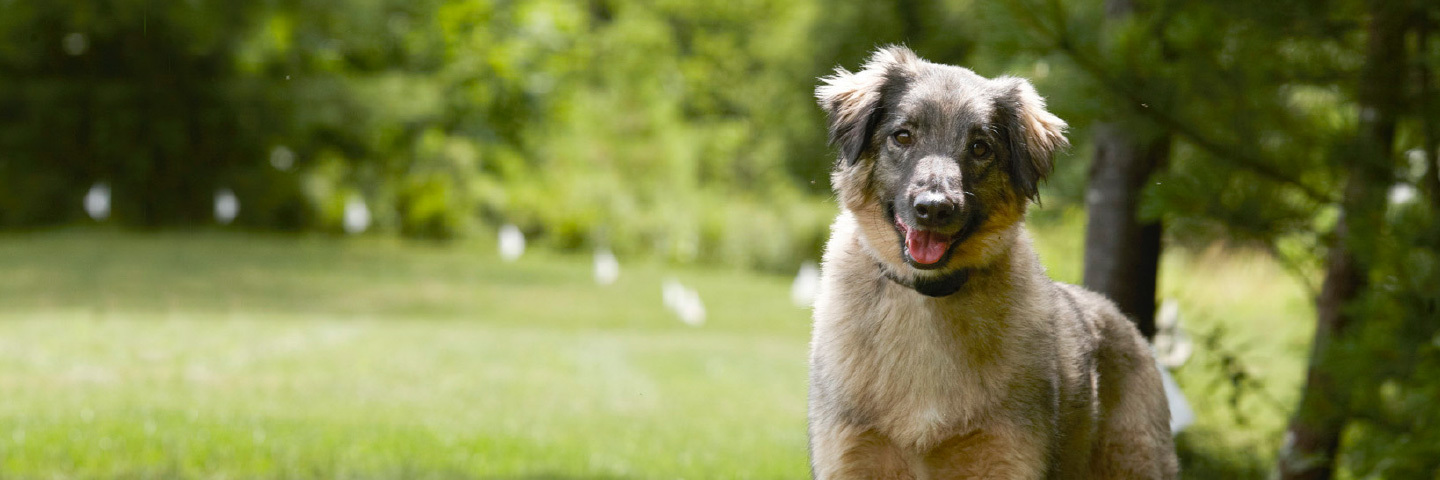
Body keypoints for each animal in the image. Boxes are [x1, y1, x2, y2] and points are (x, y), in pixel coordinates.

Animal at [806, 45, 1175, 478]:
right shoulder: (852, 455)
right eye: (903, 136)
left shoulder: (1004, 455)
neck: (927, 297)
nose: (934, 209)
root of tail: (1126, 322)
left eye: (980, 147)